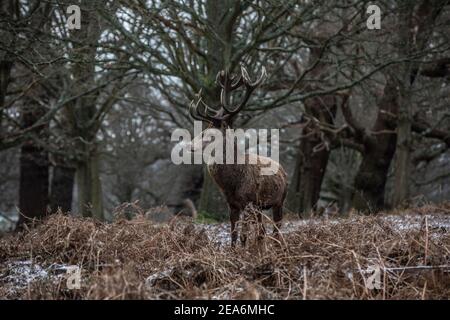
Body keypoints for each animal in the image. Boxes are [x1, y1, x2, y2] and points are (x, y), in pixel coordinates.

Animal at [187, 64, 288, 245]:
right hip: (259, 207)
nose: (190, 146)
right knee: (262, 232)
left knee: (276, 231)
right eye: (203, 130)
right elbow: (233, 235)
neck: (232, 184)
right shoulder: (233, 204)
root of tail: (283, 169)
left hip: (279, 201)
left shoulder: (247, 202)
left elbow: (243, 236)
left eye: (211, 134)